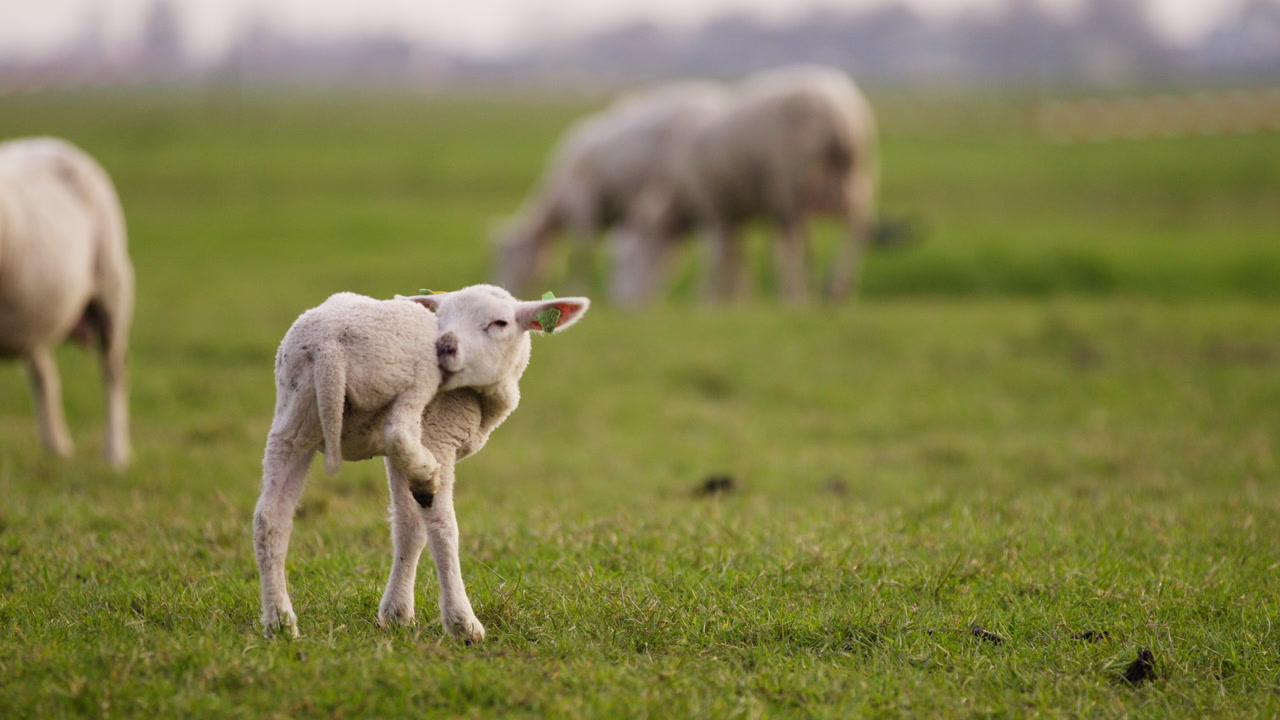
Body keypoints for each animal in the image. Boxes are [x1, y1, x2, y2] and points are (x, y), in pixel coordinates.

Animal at [0, 136, 134, 467]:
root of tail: (51, 141)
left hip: (111, 285)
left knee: (113, 372)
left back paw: (115, 454)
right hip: (31, 316)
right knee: (44, 376)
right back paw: (56, 447)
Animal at [253, 284, 589, 641]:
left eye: (500, 323)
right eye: (441, 317)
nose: (445, 345)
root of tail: (330, 348)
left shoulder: (401, 454)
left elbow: (409, 528)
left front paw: (397, 614)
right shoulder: (437, 434)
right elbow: (441, 528)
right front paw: (460, 624)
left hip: (295, 412)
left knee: (270, 516)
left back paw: (279, 622)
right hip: (411, 375)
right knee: (399, 433)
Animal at [619, 65, 879, 304]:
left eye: (629, 257)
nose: (624, 303)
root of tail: (838, 112)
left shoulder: (711, 207)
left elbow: (715, 257)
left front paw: (706, 300)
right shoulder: (733, 213)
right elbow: (738, 256)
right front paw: (741, 299)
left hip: (790, 185)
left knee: (795, 245)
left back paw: (796, 296)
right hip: (852, 178)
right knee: (855, 227)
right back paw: (835, 288)